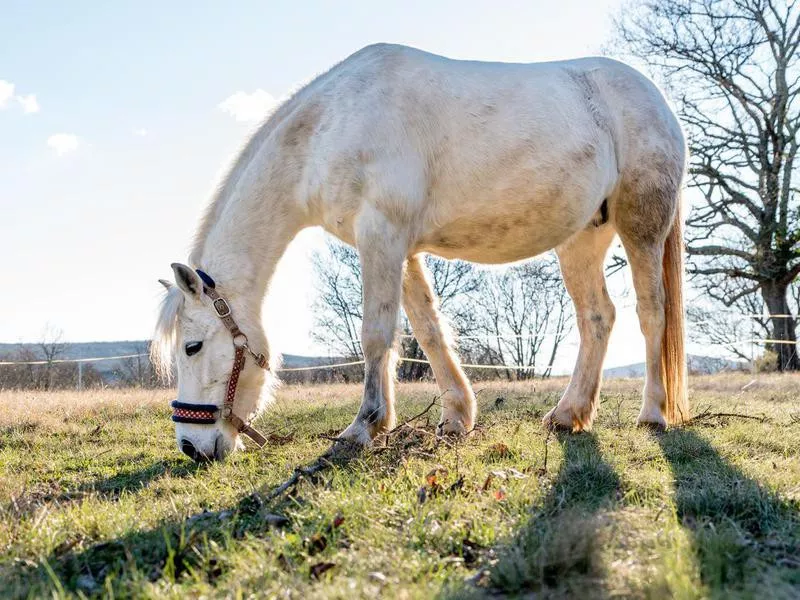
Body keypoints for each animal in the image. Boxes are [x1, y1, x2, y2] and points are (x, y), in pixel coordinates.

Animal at [152, 44, 688, 462]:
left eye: (192, 346)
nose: (191, 446)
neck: (331, 126)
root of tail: (658, 100)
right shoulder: (398, 249)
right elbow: (426, 332)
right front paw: (455, 417)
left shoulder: (382, 237)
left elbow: (376, 334)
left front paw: (363, 427)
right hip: (582, 238)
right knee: (598, 318)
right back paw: (567, 415)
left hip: (641, 228)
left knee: (651, 314)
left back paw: (653, 414)